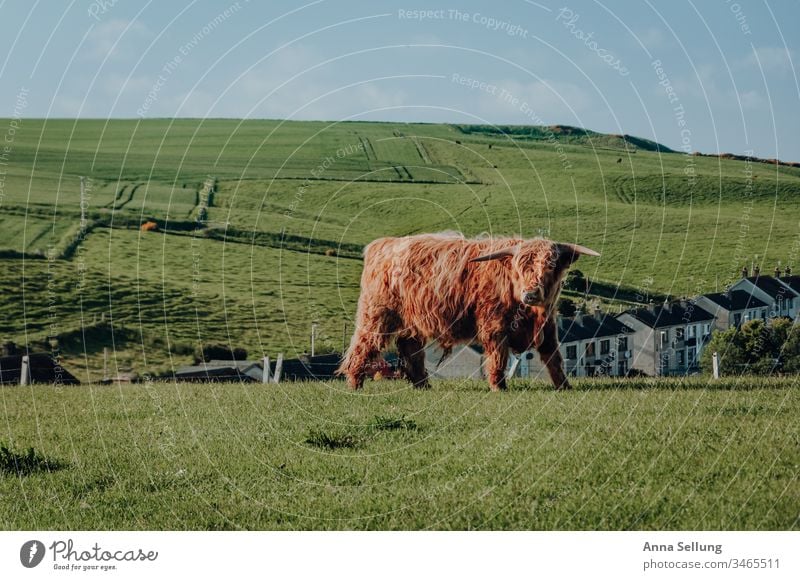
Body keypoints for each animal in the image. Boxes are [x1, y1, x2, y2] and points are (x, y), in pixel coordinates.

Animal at [338, 233, 600, 392]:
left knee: (410, 349)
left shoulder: (548, 326)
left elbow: (553, 357)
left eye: (550, 267)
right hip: (377, 315)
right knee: (362, 346)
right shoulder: (494, 325)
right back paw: (354, 383)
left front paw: (564, 386)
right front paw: (498, 387)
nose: (531, 294)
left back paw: (423, 385)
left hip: (412, 321)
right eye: (519, 269)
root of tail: (383, 245)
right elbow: (498, 357)